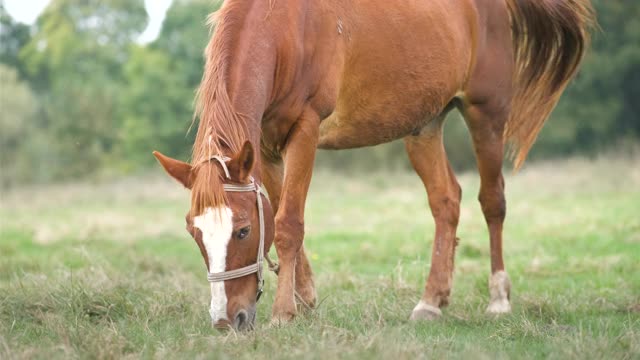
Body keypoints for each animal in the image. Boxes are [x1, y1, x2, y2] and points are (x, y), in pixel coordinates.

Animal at [152, 0, 592, 330]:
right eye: (194, 233)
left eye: (243, 231)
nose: (227, 320)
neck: (283, 29)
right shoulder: (264, 144)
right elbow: (278, 218)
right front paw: (305, 297)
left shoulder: (304, 131)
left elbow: (289, 224)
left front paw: (283, 313)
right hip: (423, 126)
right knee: (446, 201)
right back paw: (431, 300)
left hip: (486, 114)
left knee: (492, 201)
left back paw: (499, 297)